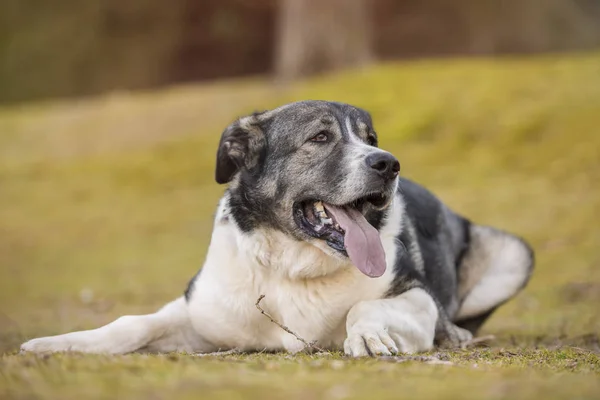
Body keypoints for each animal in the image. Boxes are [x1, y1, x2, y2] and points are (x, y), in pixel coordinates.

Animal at [21, 100, 532, 356]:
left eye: (370, 139)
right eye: (321, 138)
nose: (388, 164)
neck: (295, 266)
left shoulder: (418, 298)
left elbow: (365, 307)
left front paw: (369, 334)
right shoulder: (201, 311)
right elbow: (133, 323)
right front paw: (60, 344)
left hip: (514, 253)